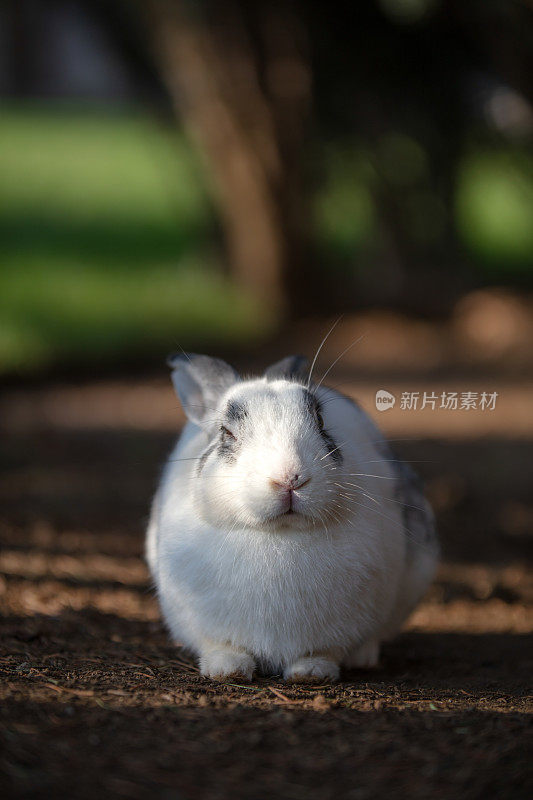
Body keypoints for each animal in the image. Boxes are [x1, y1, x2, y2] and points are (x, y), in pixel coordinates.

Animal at [145, 354, 436, 680]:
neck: (280, 534)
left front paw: (311, 673)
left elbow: (324, 651)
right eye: (227, 433)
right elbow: (221, 646)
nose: (290, 478)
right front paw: (227, 669)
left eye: (320, 422)